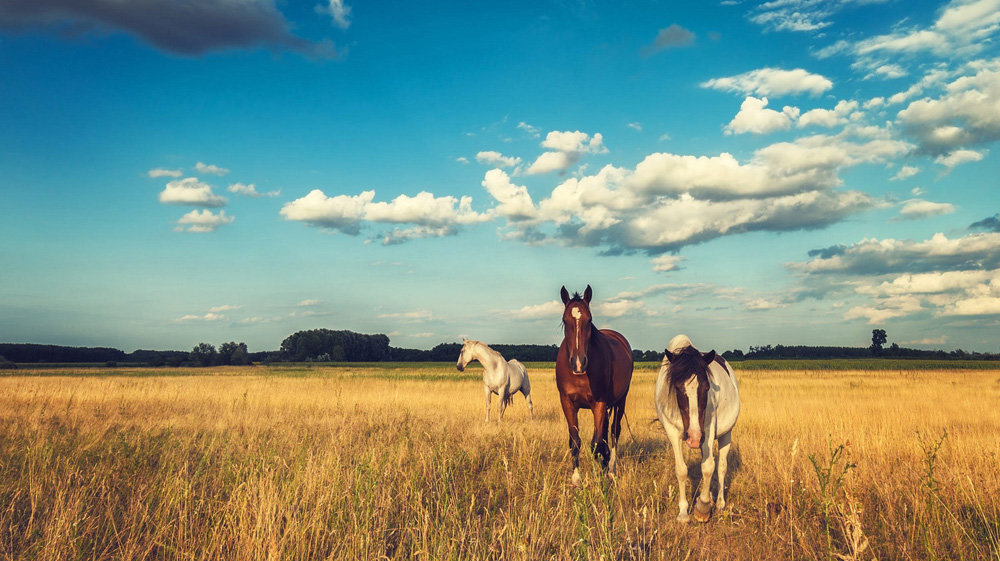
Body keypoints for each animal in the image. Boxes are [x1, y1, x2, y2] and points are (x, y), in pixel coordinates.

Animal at [556, 285, 634, 485]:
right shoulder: (567, 403)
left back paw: (611, 469)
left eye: (589, 319)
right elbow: (575, 441)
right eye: (564, 320)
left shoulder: (599, 403)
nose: (578, 363)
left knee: (614, 432)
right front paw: (576, 478)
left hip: (621, 401)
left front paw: (602, 474)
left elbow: (596, 443)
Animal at [654, 334, 740, 523]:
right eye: (677, 388)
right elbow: (681, 470)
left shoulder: (707, 429)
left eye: (706, 387)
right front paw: (683, 512)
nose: (693, 438)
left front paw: (702, 507)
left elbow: (708, 466)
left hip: (725, 435)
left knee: (721, 466)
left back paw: (719, 503)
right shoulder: (673, 432)